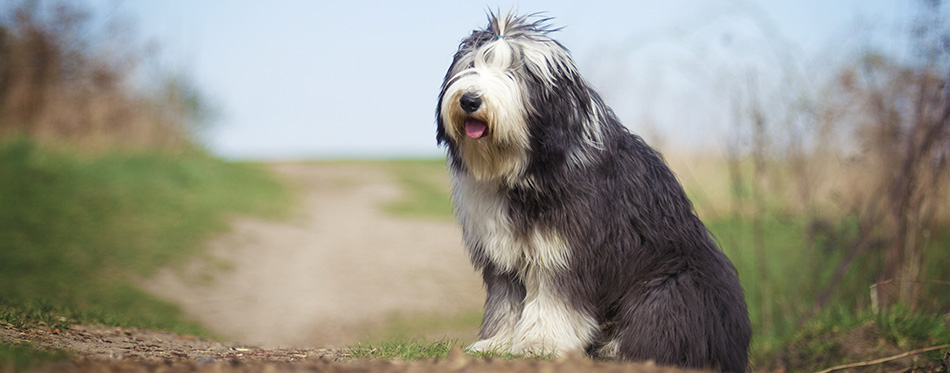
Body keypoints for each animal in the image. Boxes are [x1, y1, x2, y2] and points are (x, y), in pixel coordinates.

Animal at [436, 12, 752, 372]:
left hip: (675, 283)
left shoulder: (567, 250)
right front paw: (498, 342)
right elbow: (507, 300)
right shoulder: (503, 252)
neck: (528, 169)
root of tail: (735, 345)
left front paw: (538, 344)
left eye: (516, 71)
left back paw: (615, 349)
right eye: (471, 65)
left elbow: (554, 302)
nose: (469, 100)